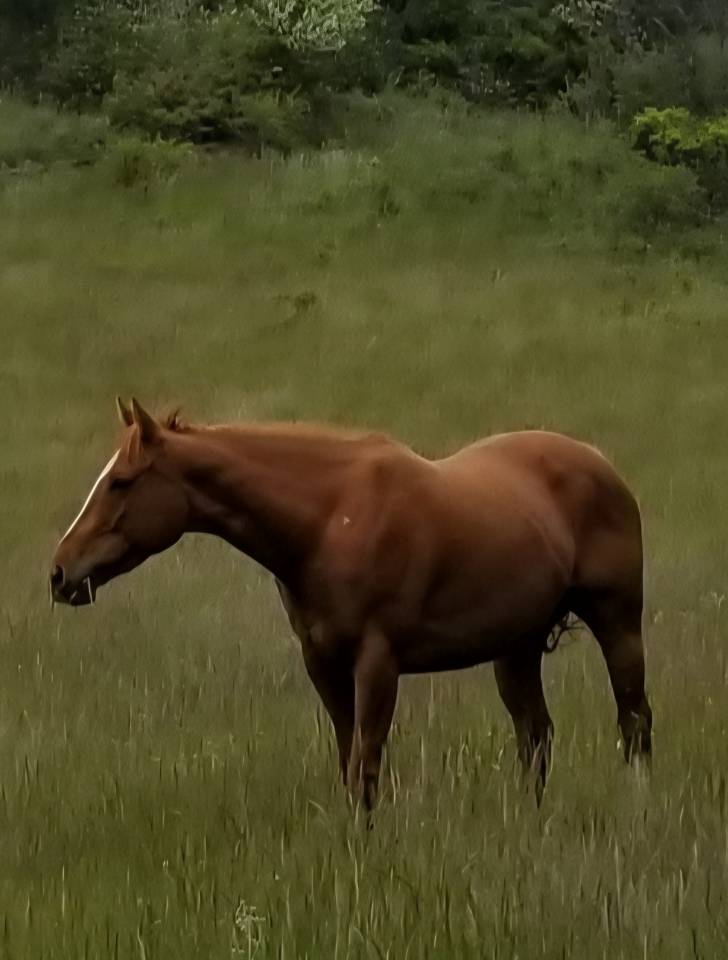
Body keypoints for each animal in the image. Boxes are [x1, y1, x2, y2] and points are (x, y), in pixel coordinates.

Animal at [50, 398, 652, 809]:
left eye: (122, 481)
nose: (60, 574)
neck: (329, 520)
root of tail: (601, 464)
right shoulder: (323, 663)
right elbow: (348, 762)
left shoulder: (376, 663)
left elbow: (366, 764)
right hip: (516, 649)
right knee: (537, 736)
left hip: (618, 625)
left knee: (634, 721)